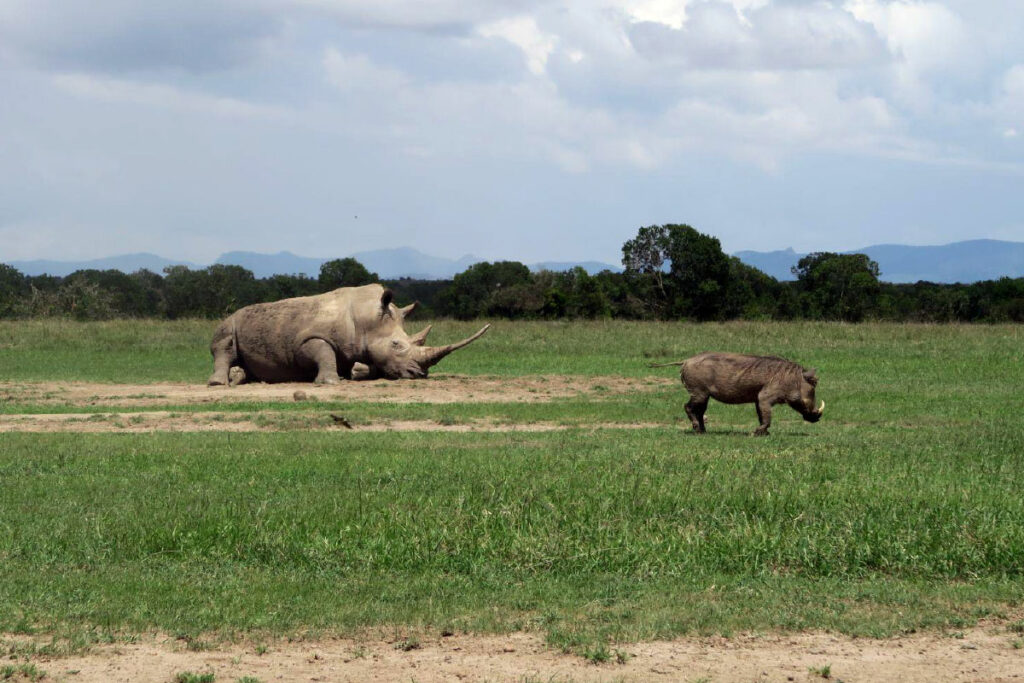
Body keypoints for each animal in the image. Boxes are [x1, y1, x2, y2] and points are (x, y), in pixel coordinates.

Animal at [206, 284, 487, 387]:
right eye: (396, 345)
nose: (419, 374)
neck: (366, 318)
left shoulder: (355, 347)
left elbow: (356, 363)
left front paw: (349, 376)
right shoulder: (309, 339)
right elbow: (323, 353)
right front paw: (331, 382)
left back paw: (245, 380)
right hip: (229, 321)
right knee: (224, 345)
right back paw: (220, 384)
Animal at [655, 356, 823, 436]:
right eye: (813, 385)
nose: (817, 418)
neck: (793, 379)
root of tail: (686, 361)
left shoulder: (758, 400)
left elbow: (761, 416)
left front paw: (764, 433)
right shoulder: (764, 397)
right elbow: (767, 418)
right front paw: (756, 433)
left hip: (704, 396)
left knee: (700, 411)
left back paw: (703, 431)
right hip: (699, 393)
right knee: (688, 407)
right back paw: (696, 428)